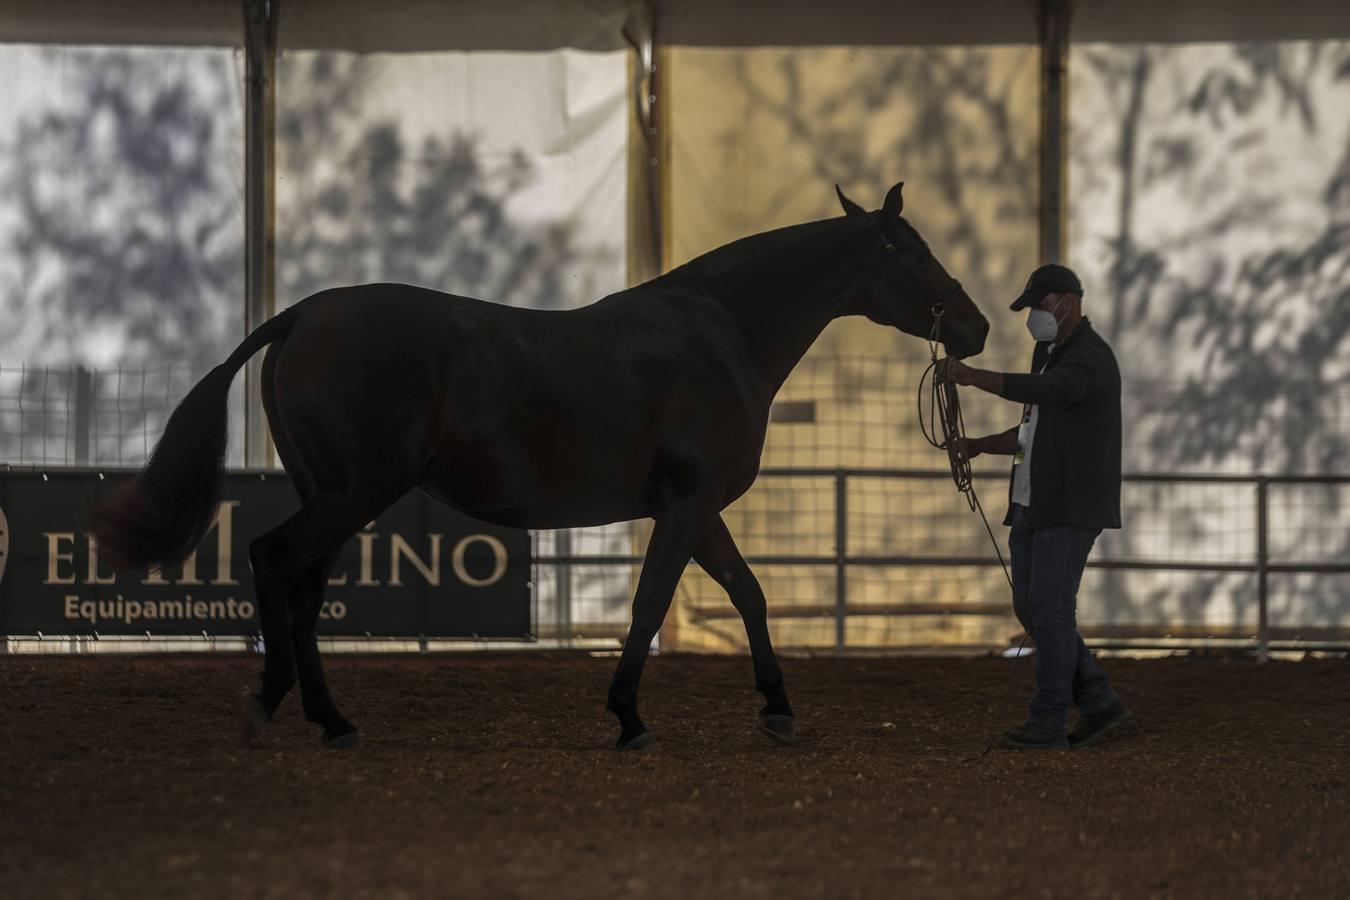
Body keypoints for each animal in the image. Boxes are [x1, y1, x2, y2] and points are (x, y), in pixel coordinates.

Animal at [92, 179, 982, 750]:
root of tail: (302, 316)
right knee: (273, 560)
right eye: (914, 254)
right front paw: (628, 718)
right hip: (351, 494)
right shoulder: (686, 507)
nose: (972, 328)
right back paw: (275, 701)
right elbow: (651, 606)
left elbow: (749, 595)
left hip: (336, 498)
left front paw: (777, 709)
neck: (718, 331)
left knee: (303, 588)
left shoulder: (698, 514)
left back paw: (329, 720)